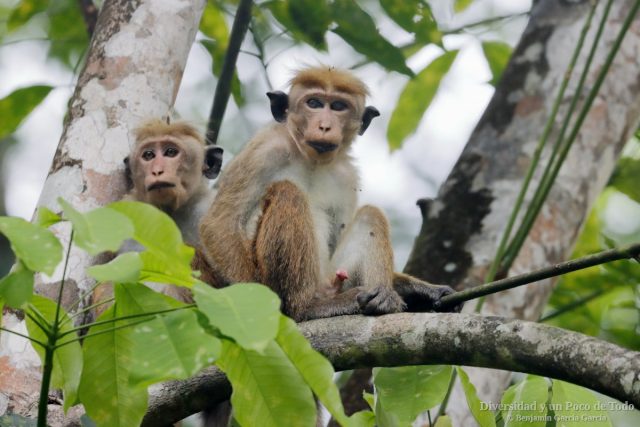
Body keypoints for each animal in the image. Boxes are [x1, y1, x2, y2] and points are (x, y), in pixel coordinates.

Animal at [195, 66, 458, 323]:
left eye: (339, 107)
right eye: (314, 103)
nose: (324, 126)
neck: (311, 159)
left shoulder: (347, 176)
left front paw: (422, 291)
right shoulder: (264, 150)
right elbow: (220, 222)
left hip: (332, 279)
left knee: (369, 216)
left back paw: (381, 298)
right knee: (287, 192)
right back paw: (306, 307)